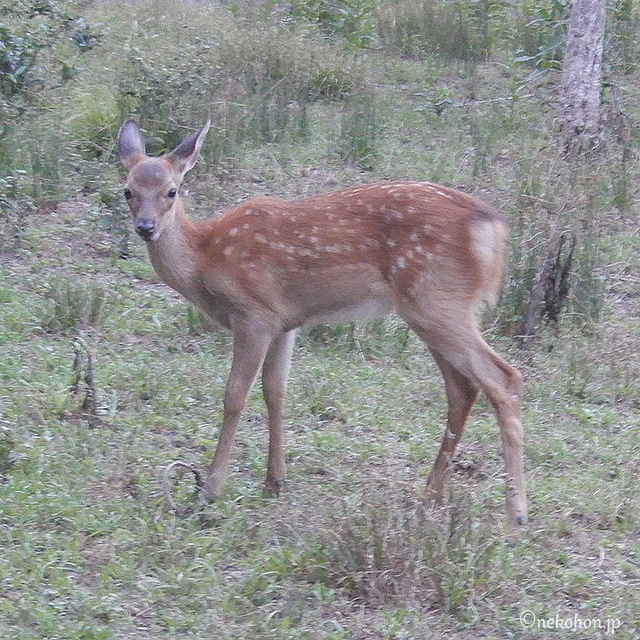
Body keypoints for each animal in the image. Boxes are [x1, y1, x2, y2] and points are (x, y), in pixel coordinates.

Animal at [117, 119, 527, 531]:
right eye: (128, 190)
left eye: (172, 190)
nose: (146, 227)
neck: (206, 257)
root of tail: (492, 228)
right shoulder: (284, 322)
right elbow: (275, 390)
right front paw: (275, 480)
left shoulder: (253, 313)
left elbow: (235, 395)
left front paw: (210, 489)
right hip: (431, 309)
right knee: (462, 388)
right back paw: (430, 496)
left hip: (437, 301)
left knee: (503, 378)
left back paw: (516, 511)